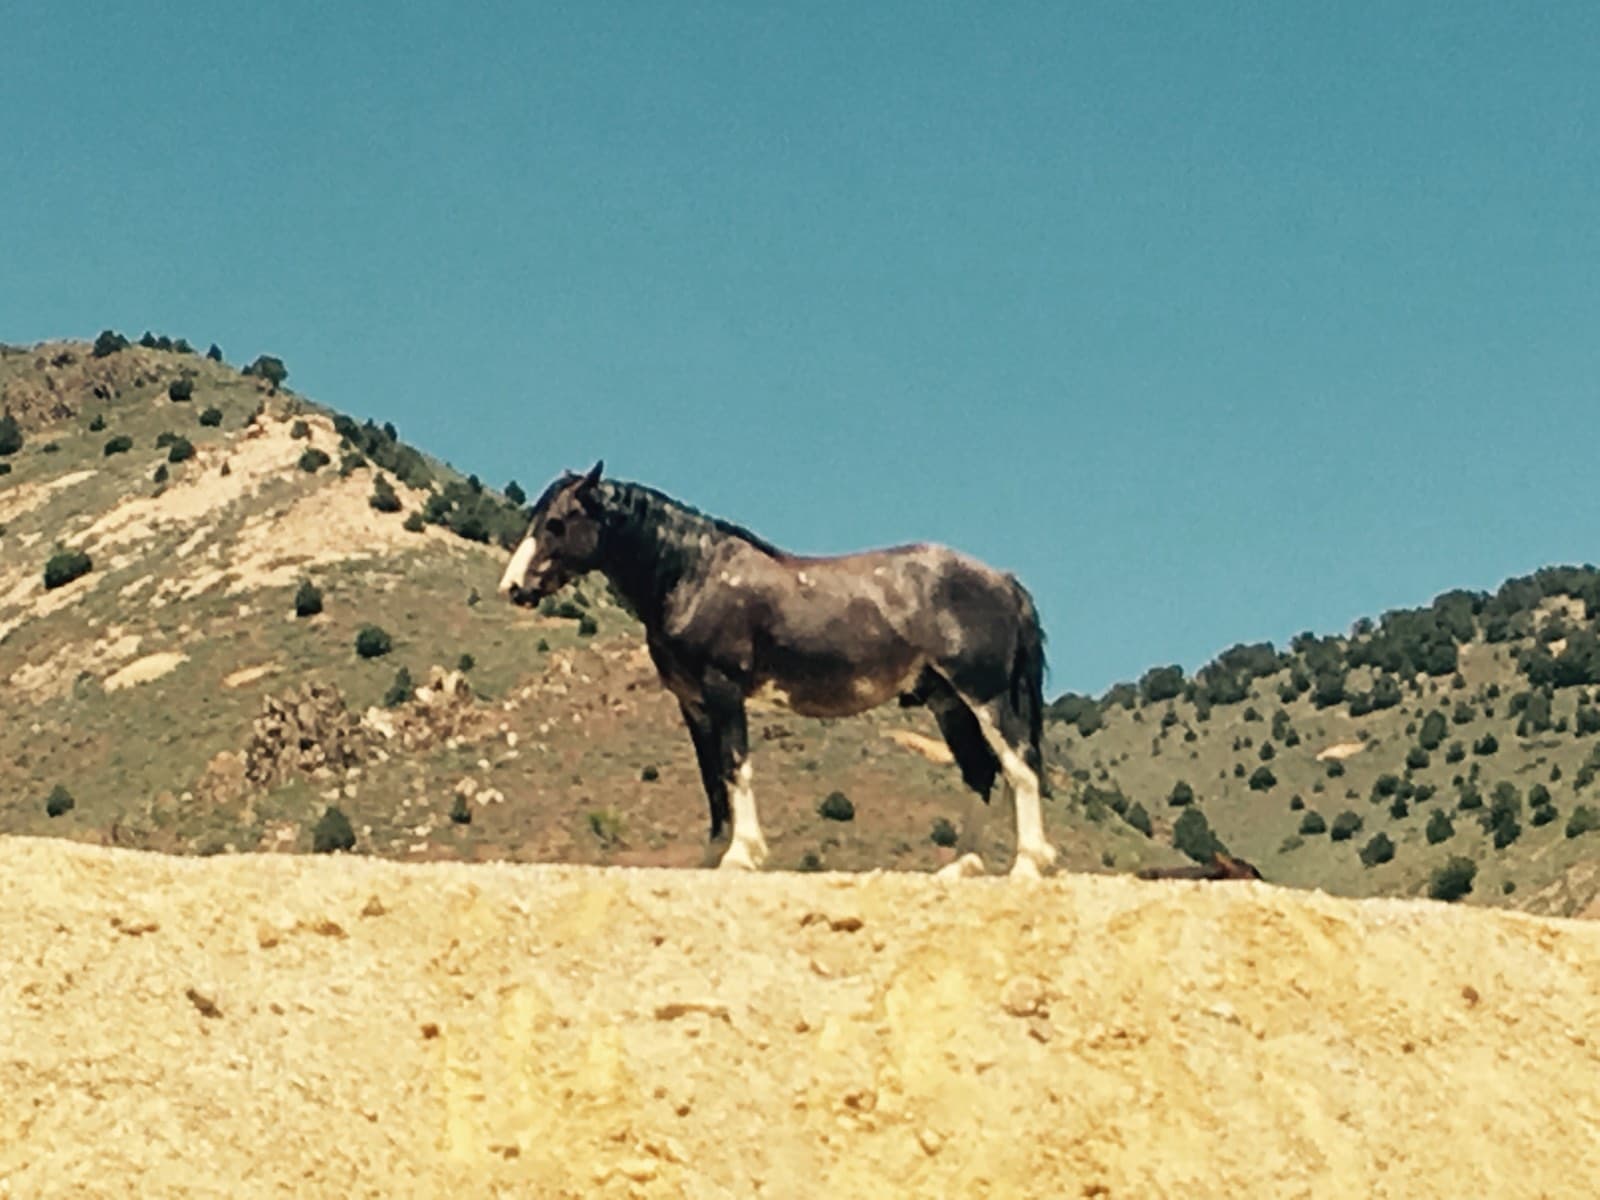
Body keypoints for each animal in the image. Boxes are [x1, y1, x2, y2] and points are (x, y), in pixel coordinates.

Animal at [498, 462, 1058, 879]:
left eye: (558, 522)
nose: (512, 587)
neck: (694, 575)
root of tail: (1004, 581)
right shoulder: (693, 703)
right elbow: (712, 780)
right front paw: (713, 857)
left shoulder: (724, 689)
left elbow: (735, 767)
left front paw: (742, 855)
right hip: (947, 701)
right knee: (979, 772)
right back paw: (962, 866)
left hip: (983, 694)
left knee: (1020, 763)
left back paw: (1029, 864)